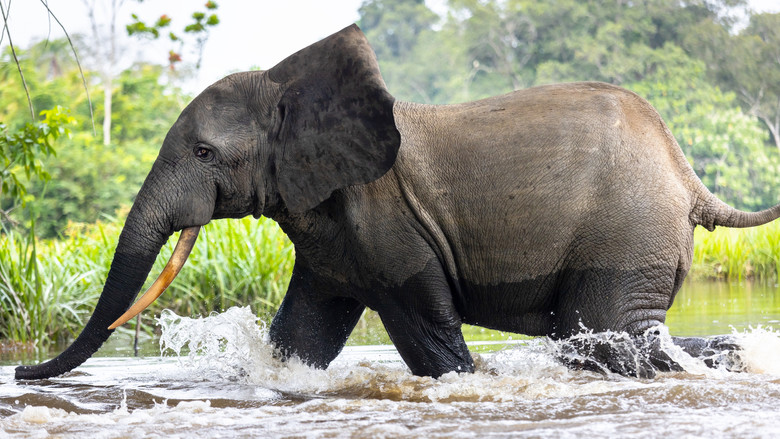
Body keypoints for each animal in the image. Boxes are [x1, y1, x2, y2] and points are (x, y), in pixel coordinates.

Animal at [16, 24, 780, 380]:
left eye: (204, 154)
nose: (22, 372)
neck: (290, 85)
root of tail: (690, 178)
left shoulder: (386, 220)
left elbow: (428, 334)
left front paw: (472, 380)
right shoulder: (330, 232)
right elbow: (302, 337)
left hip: (624, 234)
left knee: (602, 335)